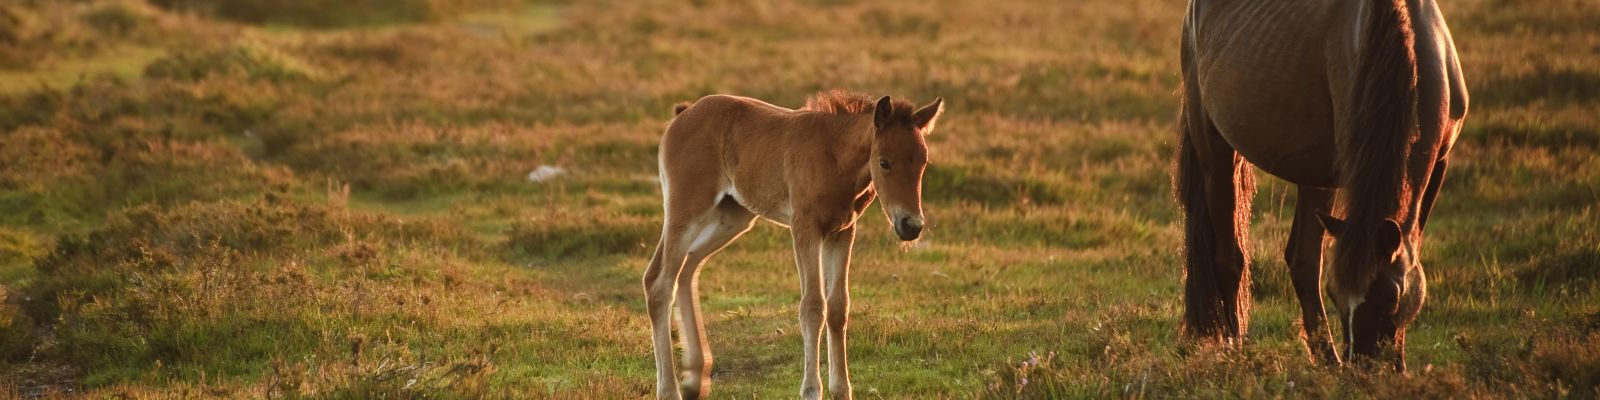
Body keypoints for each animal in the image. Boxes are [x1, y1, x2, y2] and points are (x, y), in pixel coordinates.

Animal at [643, 90, 944, 399]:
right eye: (884, 162)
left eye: (923, 162)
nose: (911, 226)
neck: (834, 158)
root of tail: (681, 116)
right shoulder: (804, 228)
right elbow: (812, 307)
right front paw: (811, 389)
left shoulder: (843, 231)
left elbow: (838, 307)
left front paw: (841, 389)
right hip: (686, 209)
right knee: (659, 282)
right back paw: (669, 389)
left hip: (731, 216)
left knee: (687, 268)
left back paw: (695, 378)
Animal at [1175, 0, 1468, 369]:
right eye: (1336, 294)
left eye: (1389, 297)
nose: (1363, 368)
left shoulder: (1439, 165)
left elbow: (1412, 252)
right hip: (1216, 152)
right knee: (1232, 259)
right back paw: (1238, 348)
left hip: (1309, 174)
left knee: (1299, 259)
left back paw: (1324, 355)